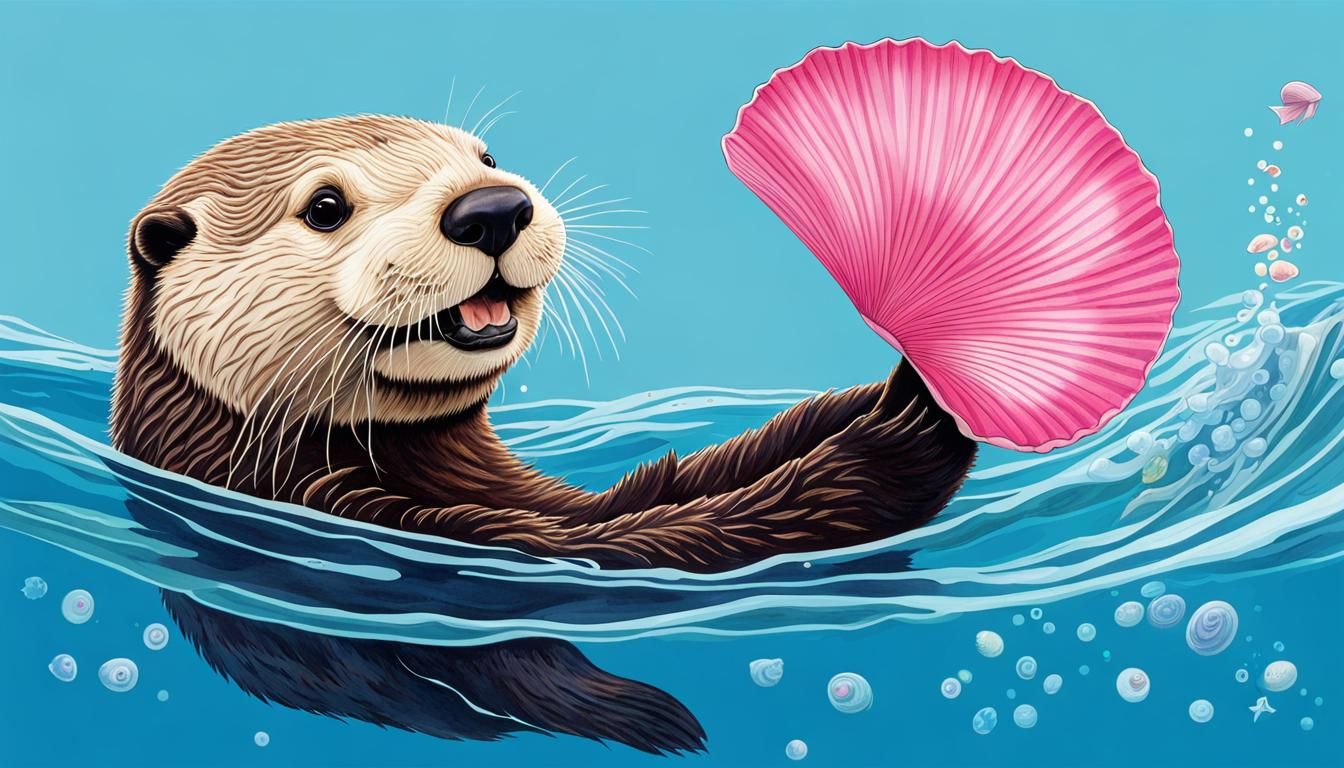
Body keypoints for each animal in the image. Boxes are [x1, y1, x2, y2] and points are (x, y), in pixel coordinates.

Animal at [111, 115, 975, 753]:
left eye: (487, 156)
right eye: (325, 206)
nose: (491, 207)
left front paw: (877, 392)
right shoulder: (378, 526)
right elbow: (649, 547)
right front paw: (907, 418)